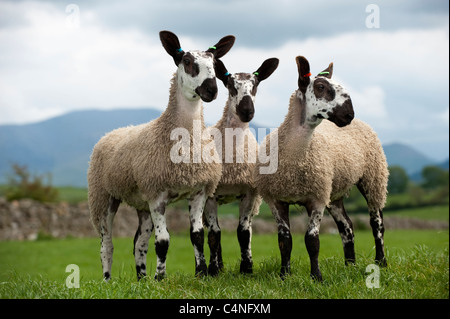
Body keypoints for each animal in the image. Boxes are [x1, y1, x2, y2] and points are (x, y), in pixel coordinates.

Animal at [87, 30, 236, 282]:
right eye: (187, 61)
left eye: (215, 63)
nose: (212, 90)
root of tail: (111, 132)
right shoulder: (157, 193)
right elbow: (163, 241)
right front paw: (160, 278)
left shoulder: (198, 191)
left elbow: (196, 235)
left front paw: (201, 273)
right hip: (103, 196)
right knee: (107, 244)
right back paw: (107, 280)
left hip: (142, 202)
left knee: (139, 242)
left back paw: (141, 279)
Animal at [203, 57, 278, 276]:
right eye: (230, 85)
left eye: (256, 85)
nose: (247, 111)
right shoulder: (210, 195)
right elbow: (215, 234)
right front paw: (213, 271)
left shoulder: (249, 192)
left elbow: (243, 232)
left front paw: (246, 268)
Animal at [255, 56, 388, 282]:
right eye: (320, 87)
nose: (349, 114)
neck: (295, 157)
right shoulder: (275, 199)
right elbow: (285, 240)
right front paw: (284, 275)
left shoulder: (316, 197)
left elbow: (312, 241)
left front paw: (316, 277)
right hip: (334, 192)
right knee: (347, 227)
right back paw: (350, 265)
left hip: (373, 176)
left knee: (376, 223)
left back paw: (381, 262)